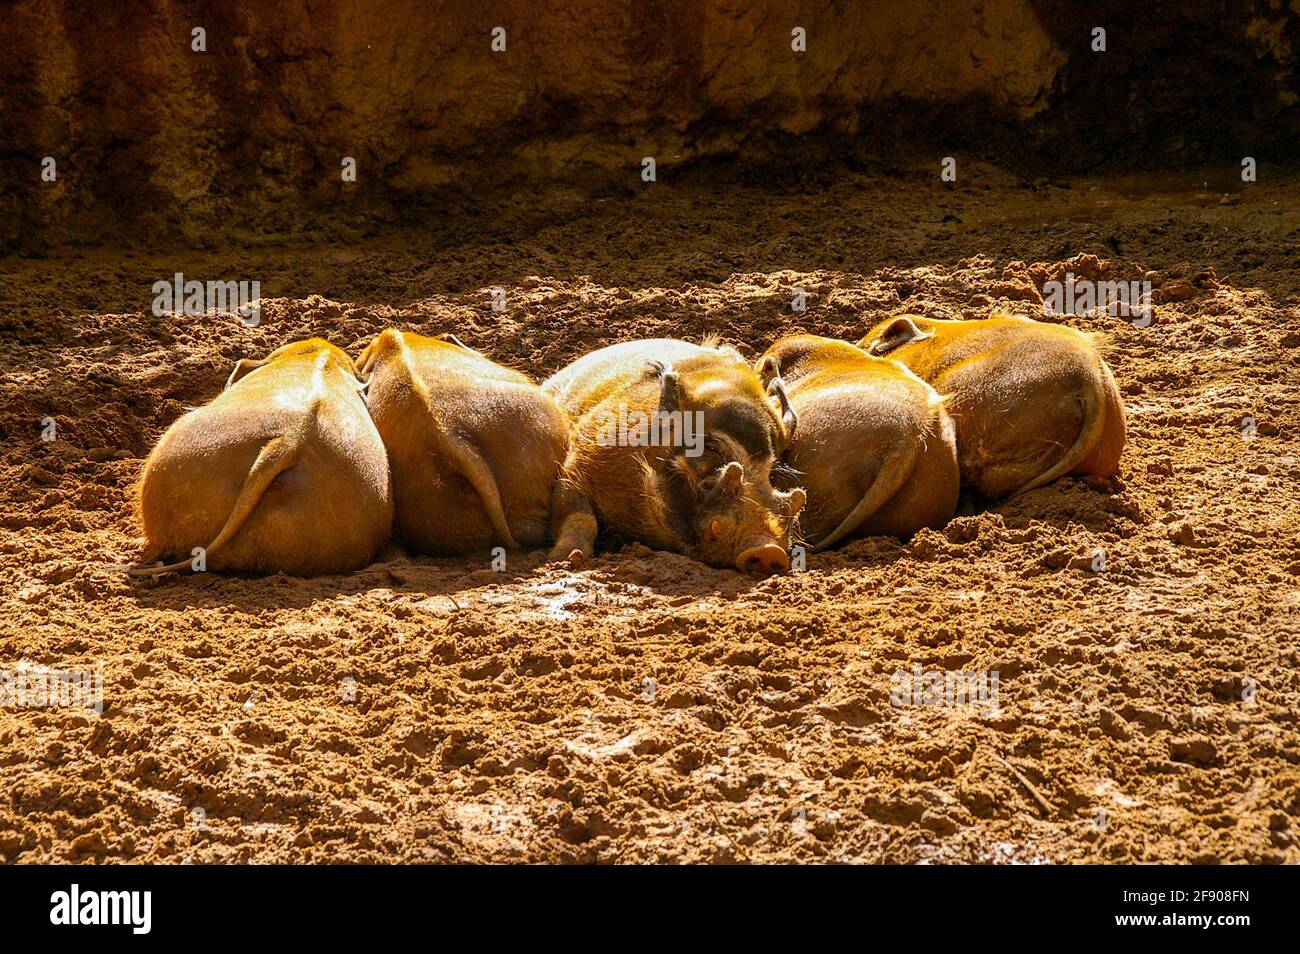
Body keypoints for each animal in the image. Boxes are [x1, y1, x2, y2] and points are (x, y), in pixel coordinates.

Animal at [543, 335, 806, 574]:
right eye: (711, 449)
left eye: (770, 471)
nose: (769, 551)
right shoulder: (576, 464)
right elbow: (580, 514)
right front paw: (566, 559)